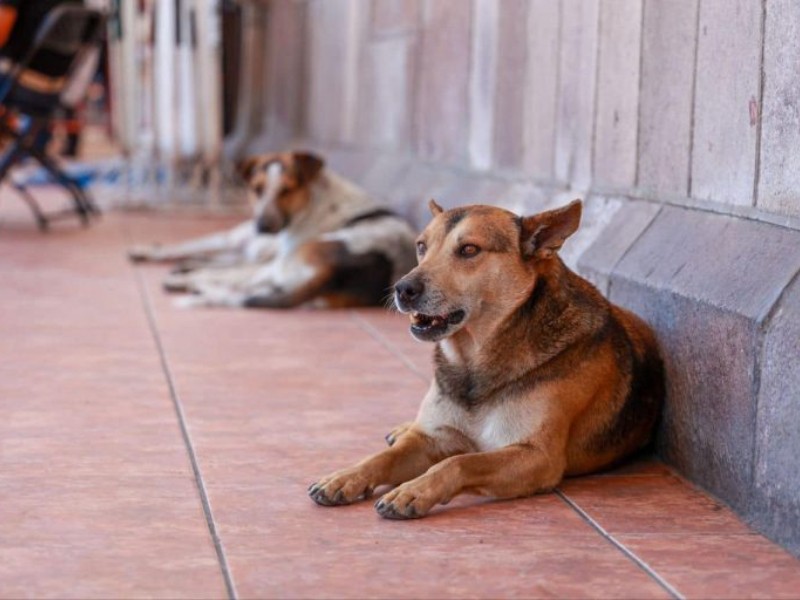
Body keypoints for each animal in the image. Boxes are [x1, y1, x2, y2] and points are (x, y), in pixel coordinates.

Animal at [128, 150, 416, 310]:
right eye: (256, 189)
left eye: (287, 190)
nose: (263, 226)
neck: (314, 199)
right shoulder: (238, 241)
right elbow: (193, 247)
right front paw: (152, 252)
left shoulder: (260, 254)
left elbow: (224, 266)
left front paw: (186, 271)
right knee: (251, 288)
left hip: (282, 265)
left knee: (237, 280)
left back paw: (190, 283)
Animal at [306, 199, 664, 516]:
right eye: (421, 246)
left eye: (469, 250)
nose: (402, 289)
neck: (473, 362)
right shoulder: (433, 438)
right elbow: (381, 458)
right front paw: (344, 477)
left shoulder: (536, 457)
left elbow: (459, 462)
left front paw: (413, 491)